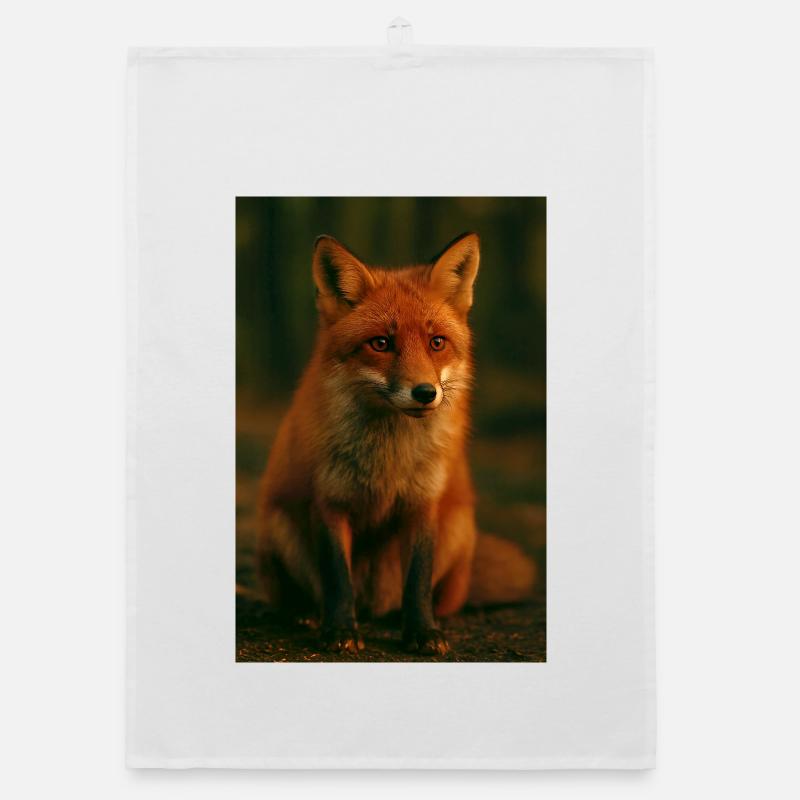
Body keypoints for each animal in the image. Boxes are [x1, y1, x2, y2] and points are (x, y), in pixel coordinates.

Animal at [256, 232, 536, 655]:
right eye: (381, 343)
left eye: (437, 342)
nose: (425, 392)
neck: (389, 457)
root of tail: (373, 607)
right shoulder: (330, 501)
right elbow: (337, 577)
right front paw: (340, 630)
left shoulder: (423, 503)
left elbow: (417, 580)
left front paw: (422, 632)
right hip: (278, 524)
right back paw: (306, 614)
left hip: (458, 527)